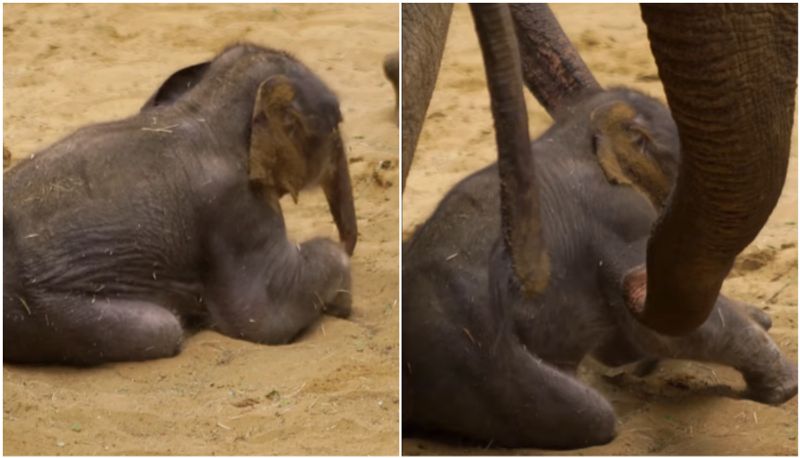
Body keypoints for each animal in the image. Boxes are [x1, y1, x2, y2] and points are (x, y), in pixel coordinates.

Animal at [3, 43, 360, 364]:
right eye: (337, 122)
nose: (350, 240)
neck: (204, 107)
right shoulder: (234, 210)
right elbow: (261, 318)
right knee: (163, 329)